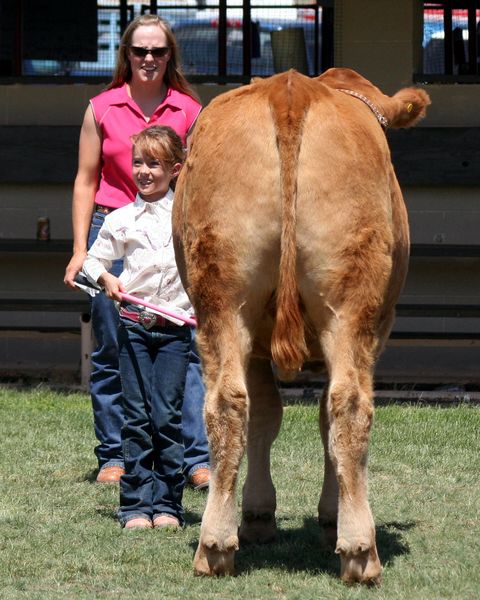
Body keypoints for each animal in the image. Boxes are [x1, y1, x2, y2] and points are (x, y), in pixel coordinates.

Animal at [173, 68, 432, 584]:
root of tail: (291, 89)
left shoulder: (256, 345)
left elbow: (267, 416)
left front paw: (258, 516)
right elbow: (304, 422)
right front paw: (306, 515)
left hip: (223, 301)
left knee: (227, 403)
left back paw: (214, 545)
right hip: (354, 309)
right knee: (349, 405)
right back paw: (359, 550)